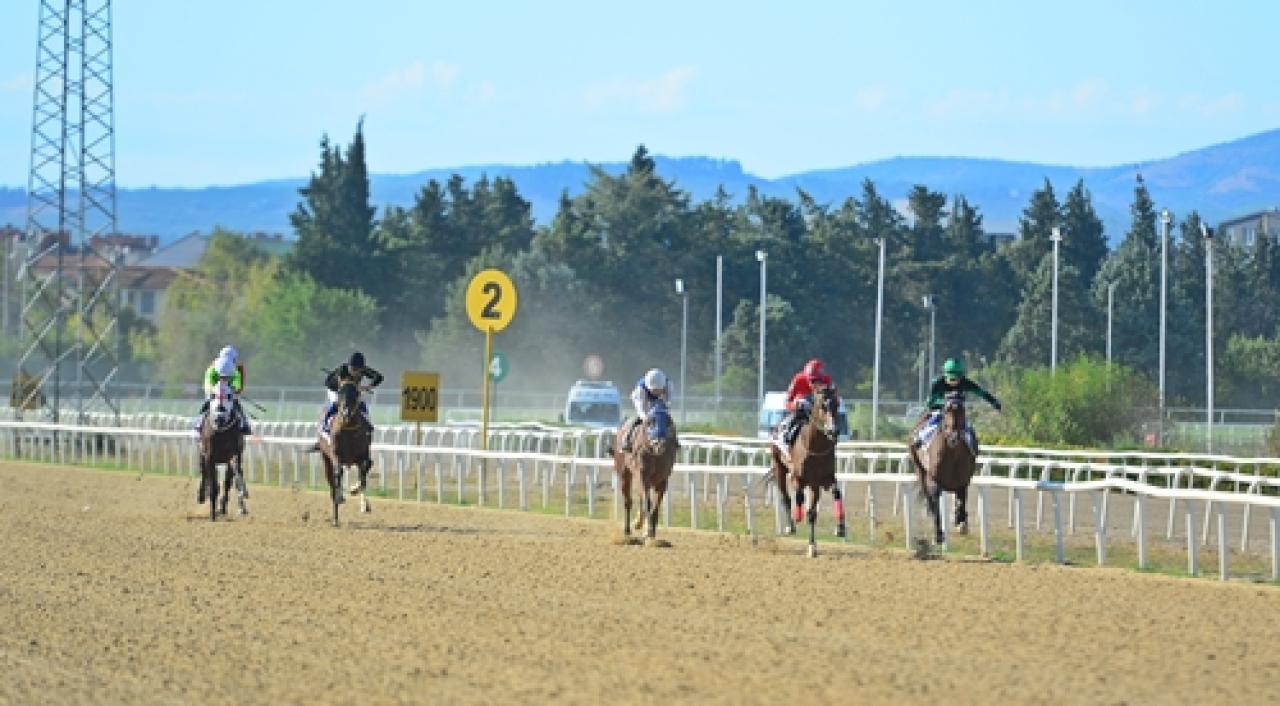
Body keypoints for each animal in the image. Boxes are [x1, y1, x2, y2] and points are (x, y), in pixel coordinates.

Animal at [195, 378, 245, 521]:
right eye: (213, 395)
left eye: (229, 395)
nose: (219, 418)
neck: (221, 431)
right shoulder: (209, 456)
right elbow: (212, 486)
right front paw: (212, 514)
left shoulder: (234, 455)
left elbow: (230, 480)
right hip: (202, 455)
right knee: (204, 473)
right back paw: (202, 495)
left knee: (227, 482)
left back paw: (223, 507)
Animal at [316, 381, 373, 524]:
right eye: (340, 393)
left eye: (356, 393)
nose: (347, 413)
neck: (349, 427)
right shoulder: (336, 456)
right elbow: (338, 474)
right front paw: (340, 498)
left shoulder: (363, 456)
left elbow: (365, 472)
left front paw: (363, 502)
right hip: (326, 459)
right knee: (332, 483)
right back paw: (336, 513)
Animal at [611, 396, 680, 544]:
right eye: (650, 422)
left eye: (668, 421)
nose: (659, 444)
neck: (654, 454)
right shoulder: (642, 474)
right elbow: (648, 503)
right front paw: (647, 532)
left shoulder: (662, 480)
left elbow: (655, 506)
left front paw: (651, 533)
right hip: (624, 473)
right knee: (628, 501)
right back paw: (627, 530)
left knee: (641, 498)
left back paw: (638, 523)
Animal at [762, 386, 844, 557]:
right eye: (823, 406)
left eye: (836, 404)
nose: (833, 431)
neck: (815, 447)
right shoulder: (797, 477)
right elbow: (798, 496)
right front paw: (797, 517)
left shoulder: (826, 479)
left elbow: (835, 495)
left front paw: (839, 528)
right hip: (779, 467)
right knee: (786, 498)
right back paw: (790, 525)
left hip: (814, 485)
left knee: (812, 511)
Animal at [906, 391, 972, 544]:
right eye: (946, 409)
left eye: (962, 410)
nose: (954, 437)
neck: (953, 455)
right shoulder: (935, 481)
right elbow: (936, 504)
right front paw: (938, 534)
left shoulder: (963, 481)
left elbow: (961, 502)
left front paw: (961, 523)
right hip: (919, 468)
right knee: (926, 493)